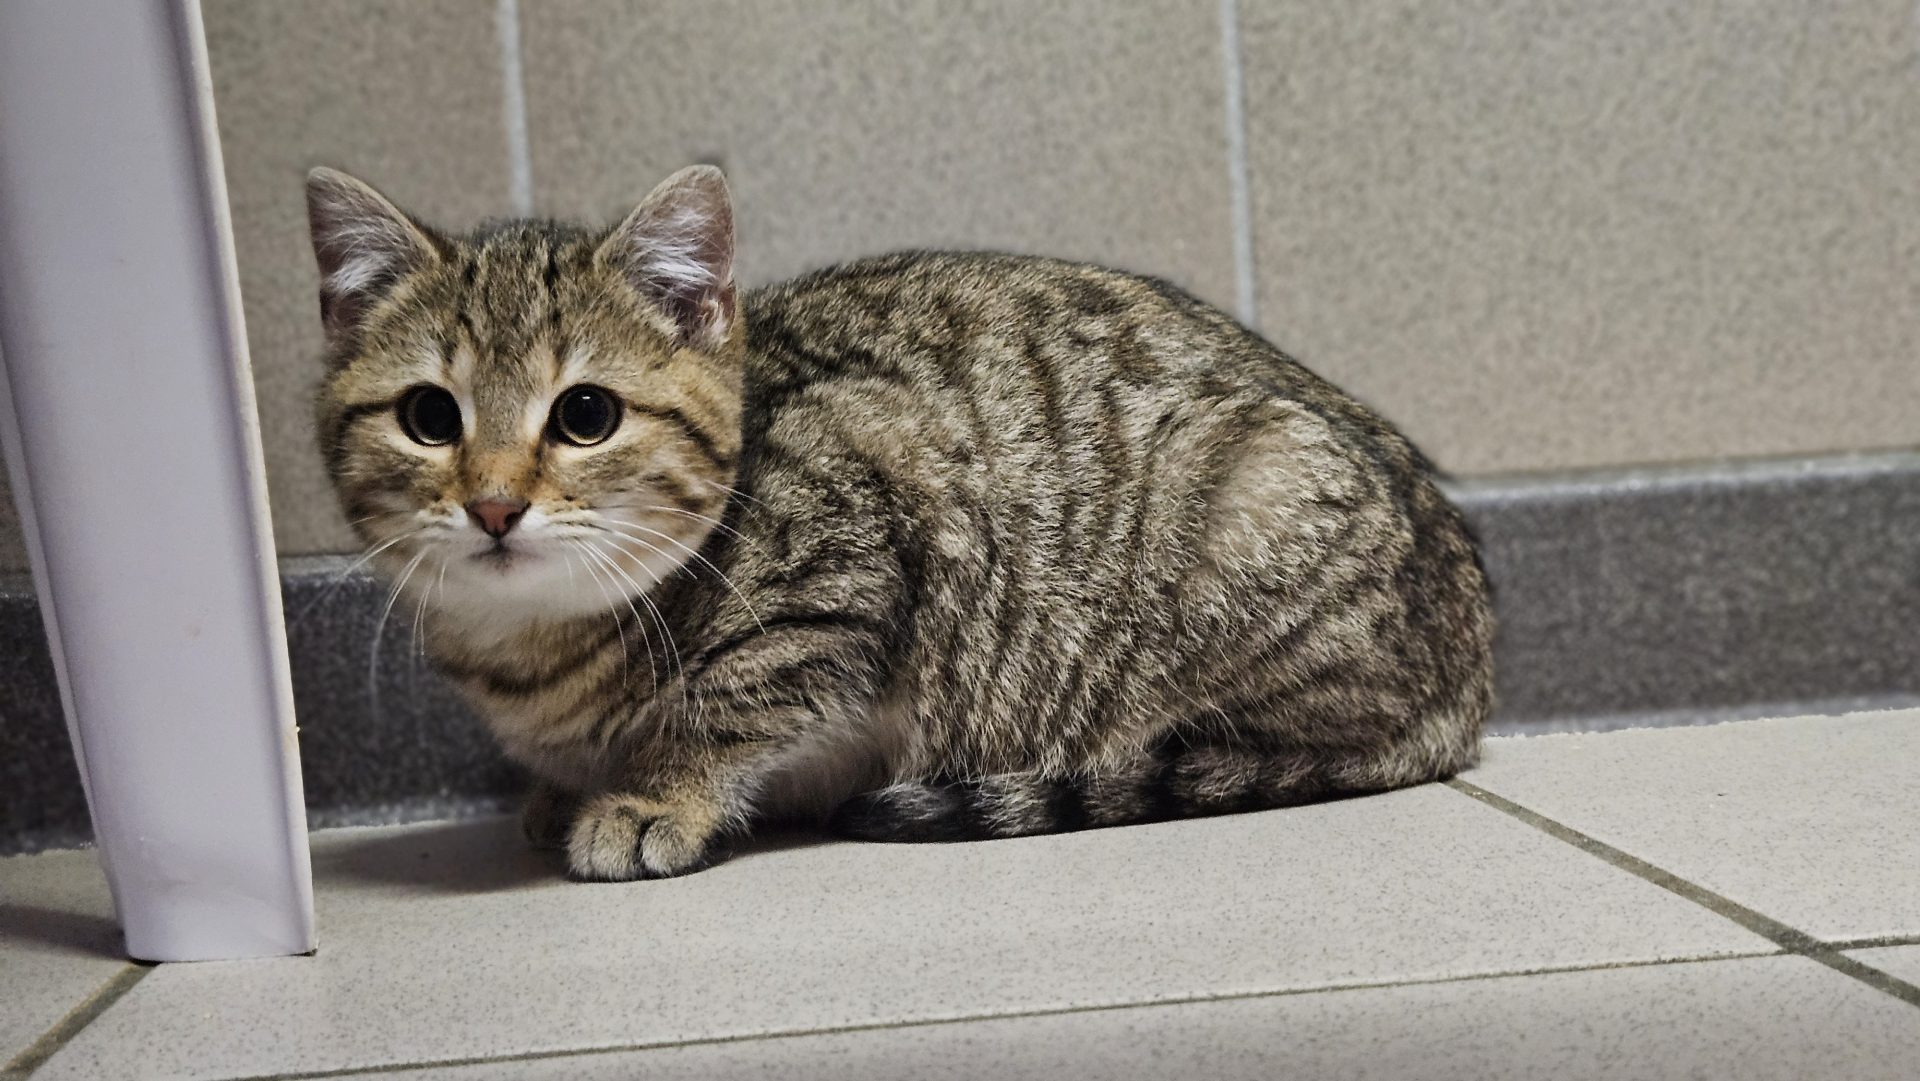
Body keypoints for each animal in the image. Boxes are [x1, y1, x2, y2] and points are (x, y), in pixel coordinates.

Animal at [307, 164, 1494, 881]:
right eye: (429, 417)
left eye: (585, 414)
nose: (495, 503)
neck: (536, 655)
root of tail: (1471, 680)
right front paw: (563, 790)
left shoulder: (856, 521)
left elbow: (733, 698)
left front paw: (652, 793)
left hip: (1248, 510)